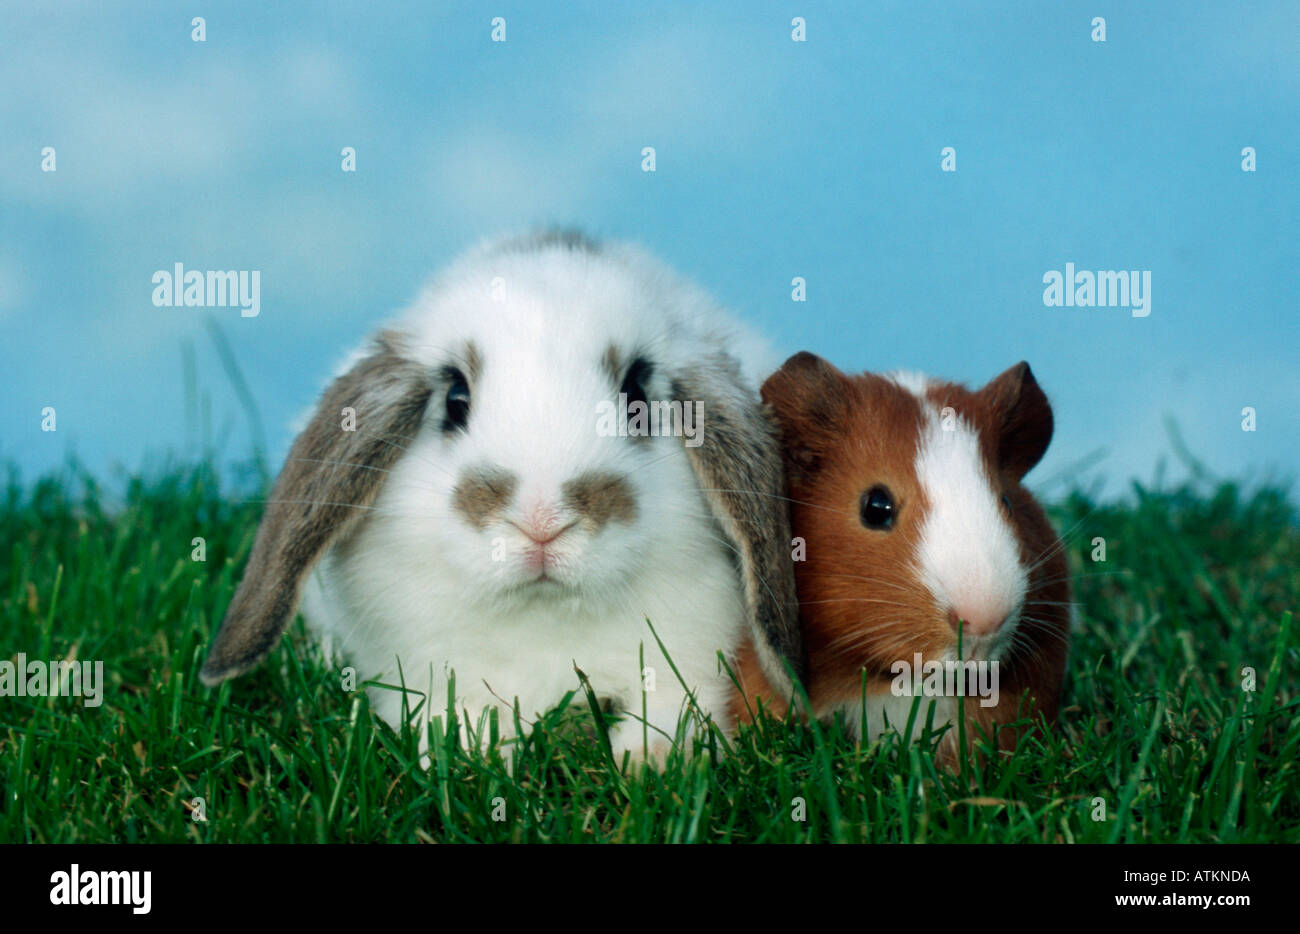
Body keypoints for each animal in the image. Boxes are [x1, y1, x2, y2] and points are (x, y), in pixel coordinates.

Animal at [199, 230, 803, 763]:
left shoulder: (690, 652)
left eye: (636, 396)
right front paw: (471, 756)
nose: (541, 520)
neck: (545, 614)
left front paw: (655, 761)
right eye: (455, 398)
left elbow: (676, 703)